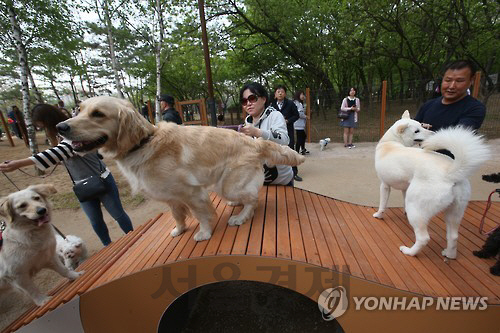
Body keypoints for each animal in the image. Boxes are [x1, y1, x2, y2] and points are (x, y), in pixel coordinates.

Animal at [55, 96, 304, 241]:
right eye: (79, 110)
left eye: (98, 114)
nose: (60, 127)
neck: (142, 143)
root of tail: (255, 141)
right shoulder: (171, 197)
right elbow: (177, 215)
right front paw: (180, 229)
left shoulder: (193, 192)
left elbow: (202, 214)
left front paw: (204, 233)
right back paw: (236, 205)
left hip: (228, 184)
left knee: (253, 199)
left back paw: (240, 217)